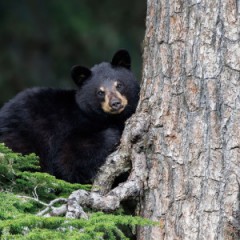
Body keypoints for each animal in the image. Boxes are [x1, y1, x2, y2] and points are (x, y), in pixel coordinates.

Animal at [0, 49, 139, 184]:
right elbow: (70, 160)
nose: (115, 103)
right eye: (100, 92)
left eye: (119, 85)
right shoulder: (72, 126)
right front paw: (113, 135)